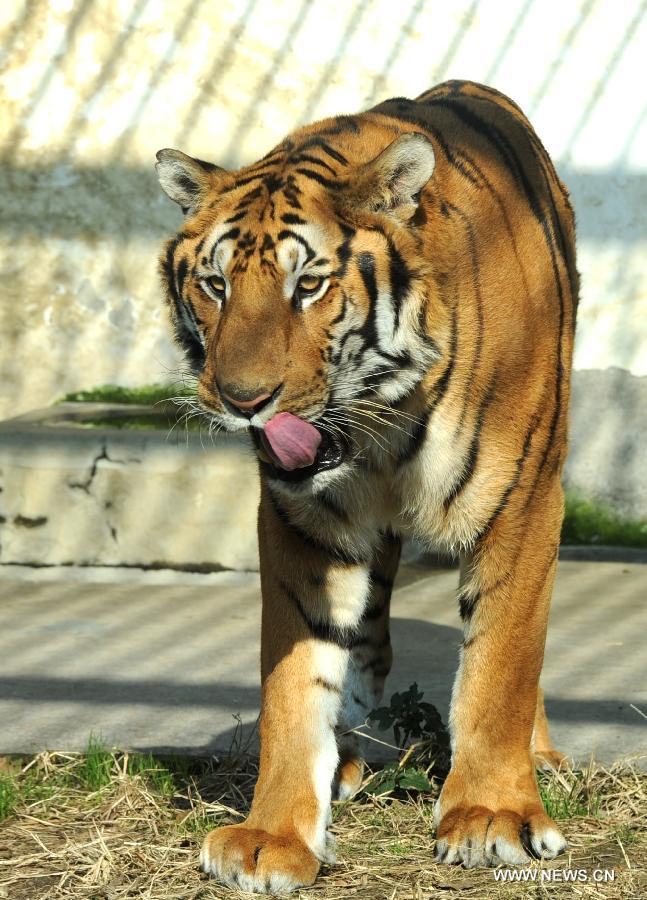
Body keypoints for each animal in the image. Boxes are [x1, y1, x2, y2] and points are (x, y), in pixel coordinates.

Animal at [156, 79, 576, 892]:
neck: (382, 424)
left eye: (309, 285)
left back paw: (539, 759)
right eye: (216, 286)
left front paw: (491, 816)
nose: (242, 401)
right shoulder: (298, 519)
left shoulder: (520, 499)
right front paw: (271, 836)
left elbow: (503, 660)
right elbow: (295, 681)